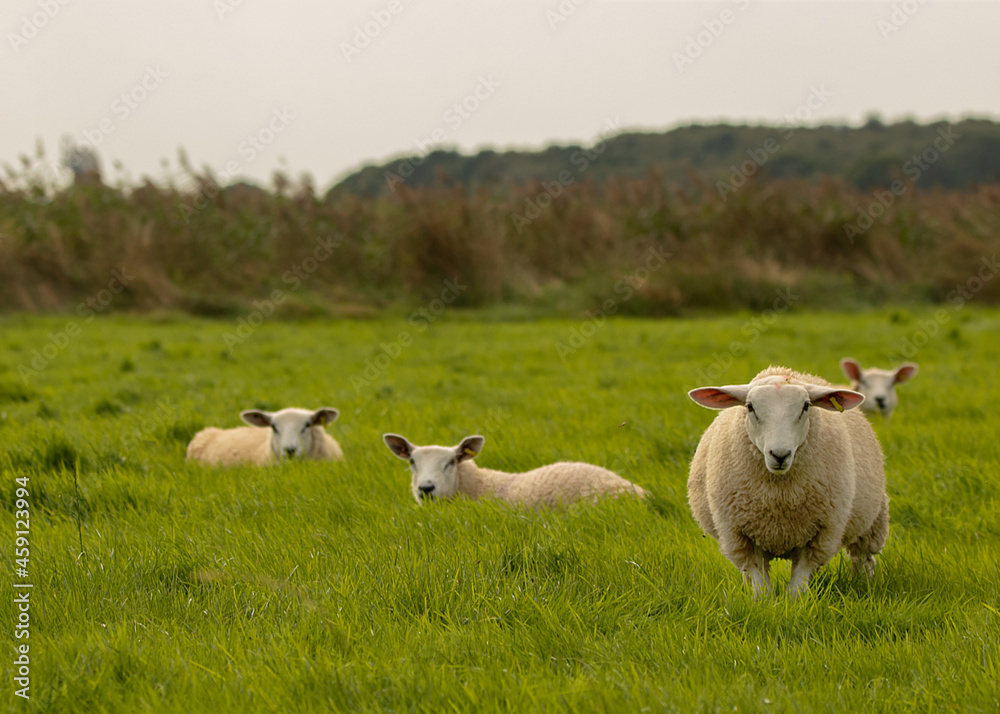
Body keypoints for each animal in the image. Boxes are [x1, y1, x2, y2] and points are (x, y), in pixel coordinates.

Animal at [687, 366, 889, 597]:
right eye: (750, 407)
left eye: (806, 406)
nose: (780, 454)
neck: (780, 497)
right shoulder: (738, 535)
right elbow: (759, 580)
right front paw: (761, 601)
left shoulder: (821, 534)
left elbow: (798, 582)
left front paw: (794, 602)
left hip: (872, 521)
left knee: (864, 557)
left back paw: (865, 584)